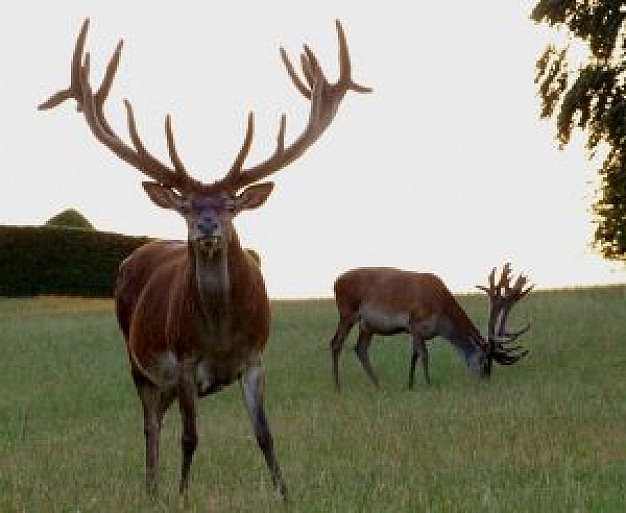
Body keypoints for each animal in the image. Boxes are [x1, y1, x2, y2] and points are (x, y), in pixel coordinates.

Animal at [37, 18, 370, 498]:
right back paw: (152, 490)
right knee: (151, 425)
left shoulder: (255, 358)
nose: (207, 226)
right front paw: (180, 495)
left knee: (160, 419)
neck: (220, 334)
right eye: (187, 207)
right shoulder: (185, 359)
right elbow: (189, 437)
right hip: (139, 362)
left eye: (231, 205)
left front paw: (285, 493)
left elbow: (265, 434)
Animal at [330, 264, 528, 388]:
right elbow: (424, 355)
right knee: (336, 342)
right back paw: (338, 387)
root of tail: (336, 281)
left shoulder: (417, 331)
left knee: (360, 348)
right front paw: (428, 383)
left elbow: (414, 355)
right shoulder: (415, 322)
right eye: (484, 361)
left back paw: (378, 385)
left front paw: (410, 385)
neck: (441, 318)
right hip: (347, 311)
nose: (484, 380)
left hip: (367, 325)